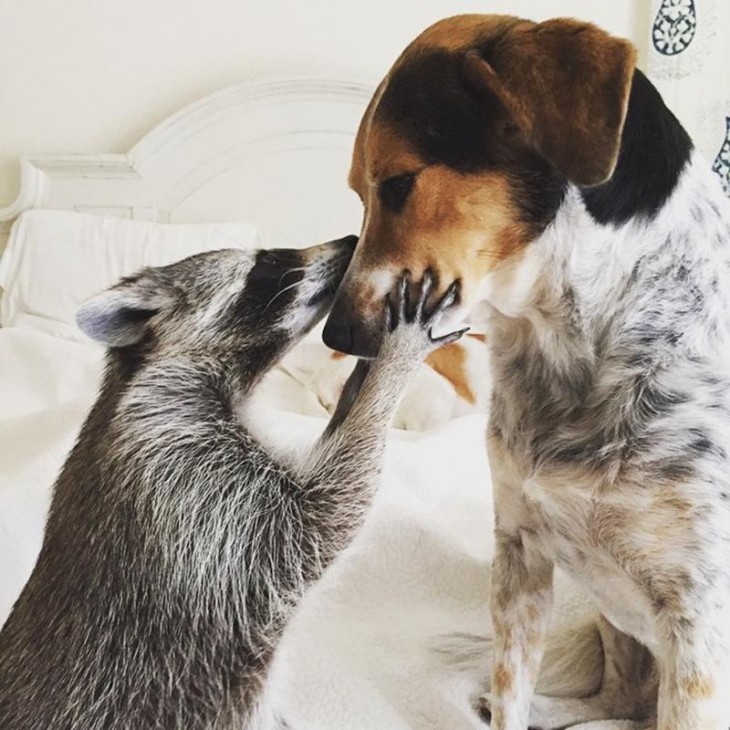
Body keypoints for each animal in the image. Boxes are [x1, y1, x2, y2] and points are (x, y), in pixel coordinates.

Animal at [322, 11, 728, 728]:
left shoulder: (697, 623)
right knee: (617, 698)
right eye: (357, 192)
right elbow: (512, 689)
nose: (334, 334)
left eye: (397, 184)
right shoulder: (520, 551)